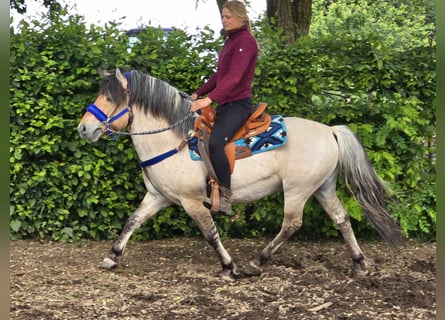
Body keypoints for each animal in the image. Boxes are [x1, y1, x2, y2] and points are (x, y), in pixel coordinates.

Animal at [77, 68, 402, 280]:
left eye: (110, 99)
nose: (84, 128)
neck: (173, 139)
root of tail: (330, 130)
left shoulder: (192, 202)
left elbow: (210, 233)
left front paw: (228, 267)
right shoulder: (158, 197)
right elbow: (132, 221)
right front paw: (112, 257)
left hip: (297, 189)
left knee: (291, 224)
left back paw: (256, 262)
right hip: (322, 187)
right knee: (341, 218)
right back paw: (359, 263)